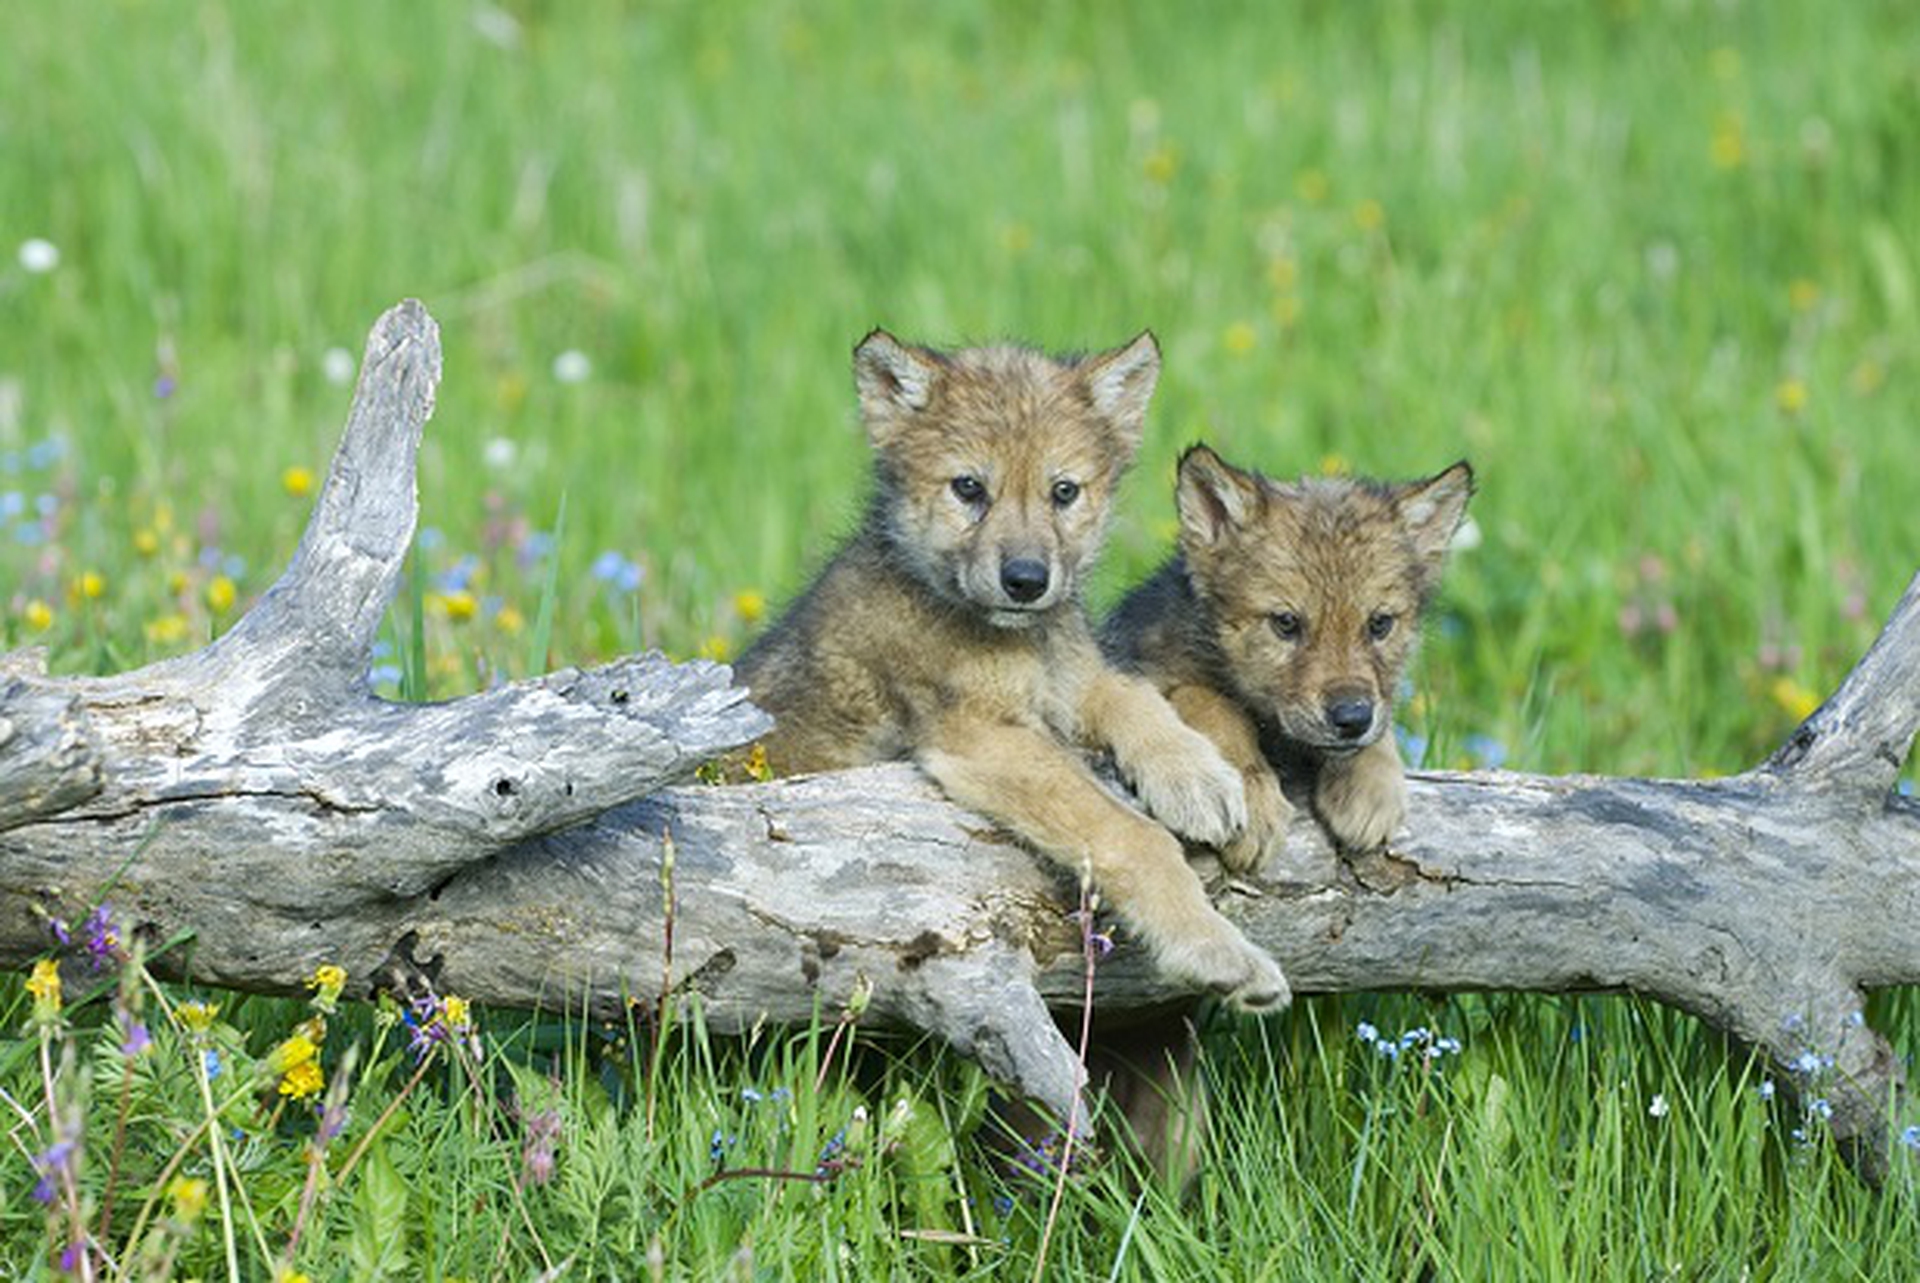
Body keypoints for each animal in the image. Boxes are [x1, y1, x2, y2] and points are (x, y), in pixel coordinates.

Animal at [735, 332, 1288, 1011]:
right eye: (969, 488)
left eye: (1064, 491)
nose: (1026, 581)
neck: (1019, 639)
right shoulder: (981, 737)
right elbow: (1130, 834)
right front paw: (1217, 951)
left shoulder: (1074, 679)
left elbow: (1135, 697)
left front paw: (1199, 776)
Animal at [1104, 445, 1474, 870]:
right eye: (1285, 623)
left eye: (1380, 624)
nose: (1352, 719)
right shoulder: (1143, 670)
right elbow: (1212, 704)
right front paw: (1253, 801)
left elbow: (1383, 719)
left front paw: (1371, 787)